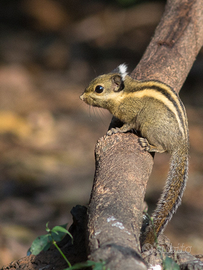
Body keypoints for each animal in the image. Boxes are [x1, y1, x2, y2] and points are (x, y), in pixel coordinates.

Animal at [80, 65, 190, 249]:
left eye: (99, 89)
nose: (81, 97)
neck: (124, 94)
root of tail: (182, 145)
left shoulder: (132, 115)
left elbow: (127, 125)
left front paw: (116, 130)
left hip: (150, 126)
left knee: (163, 148)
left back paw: (150, 145)